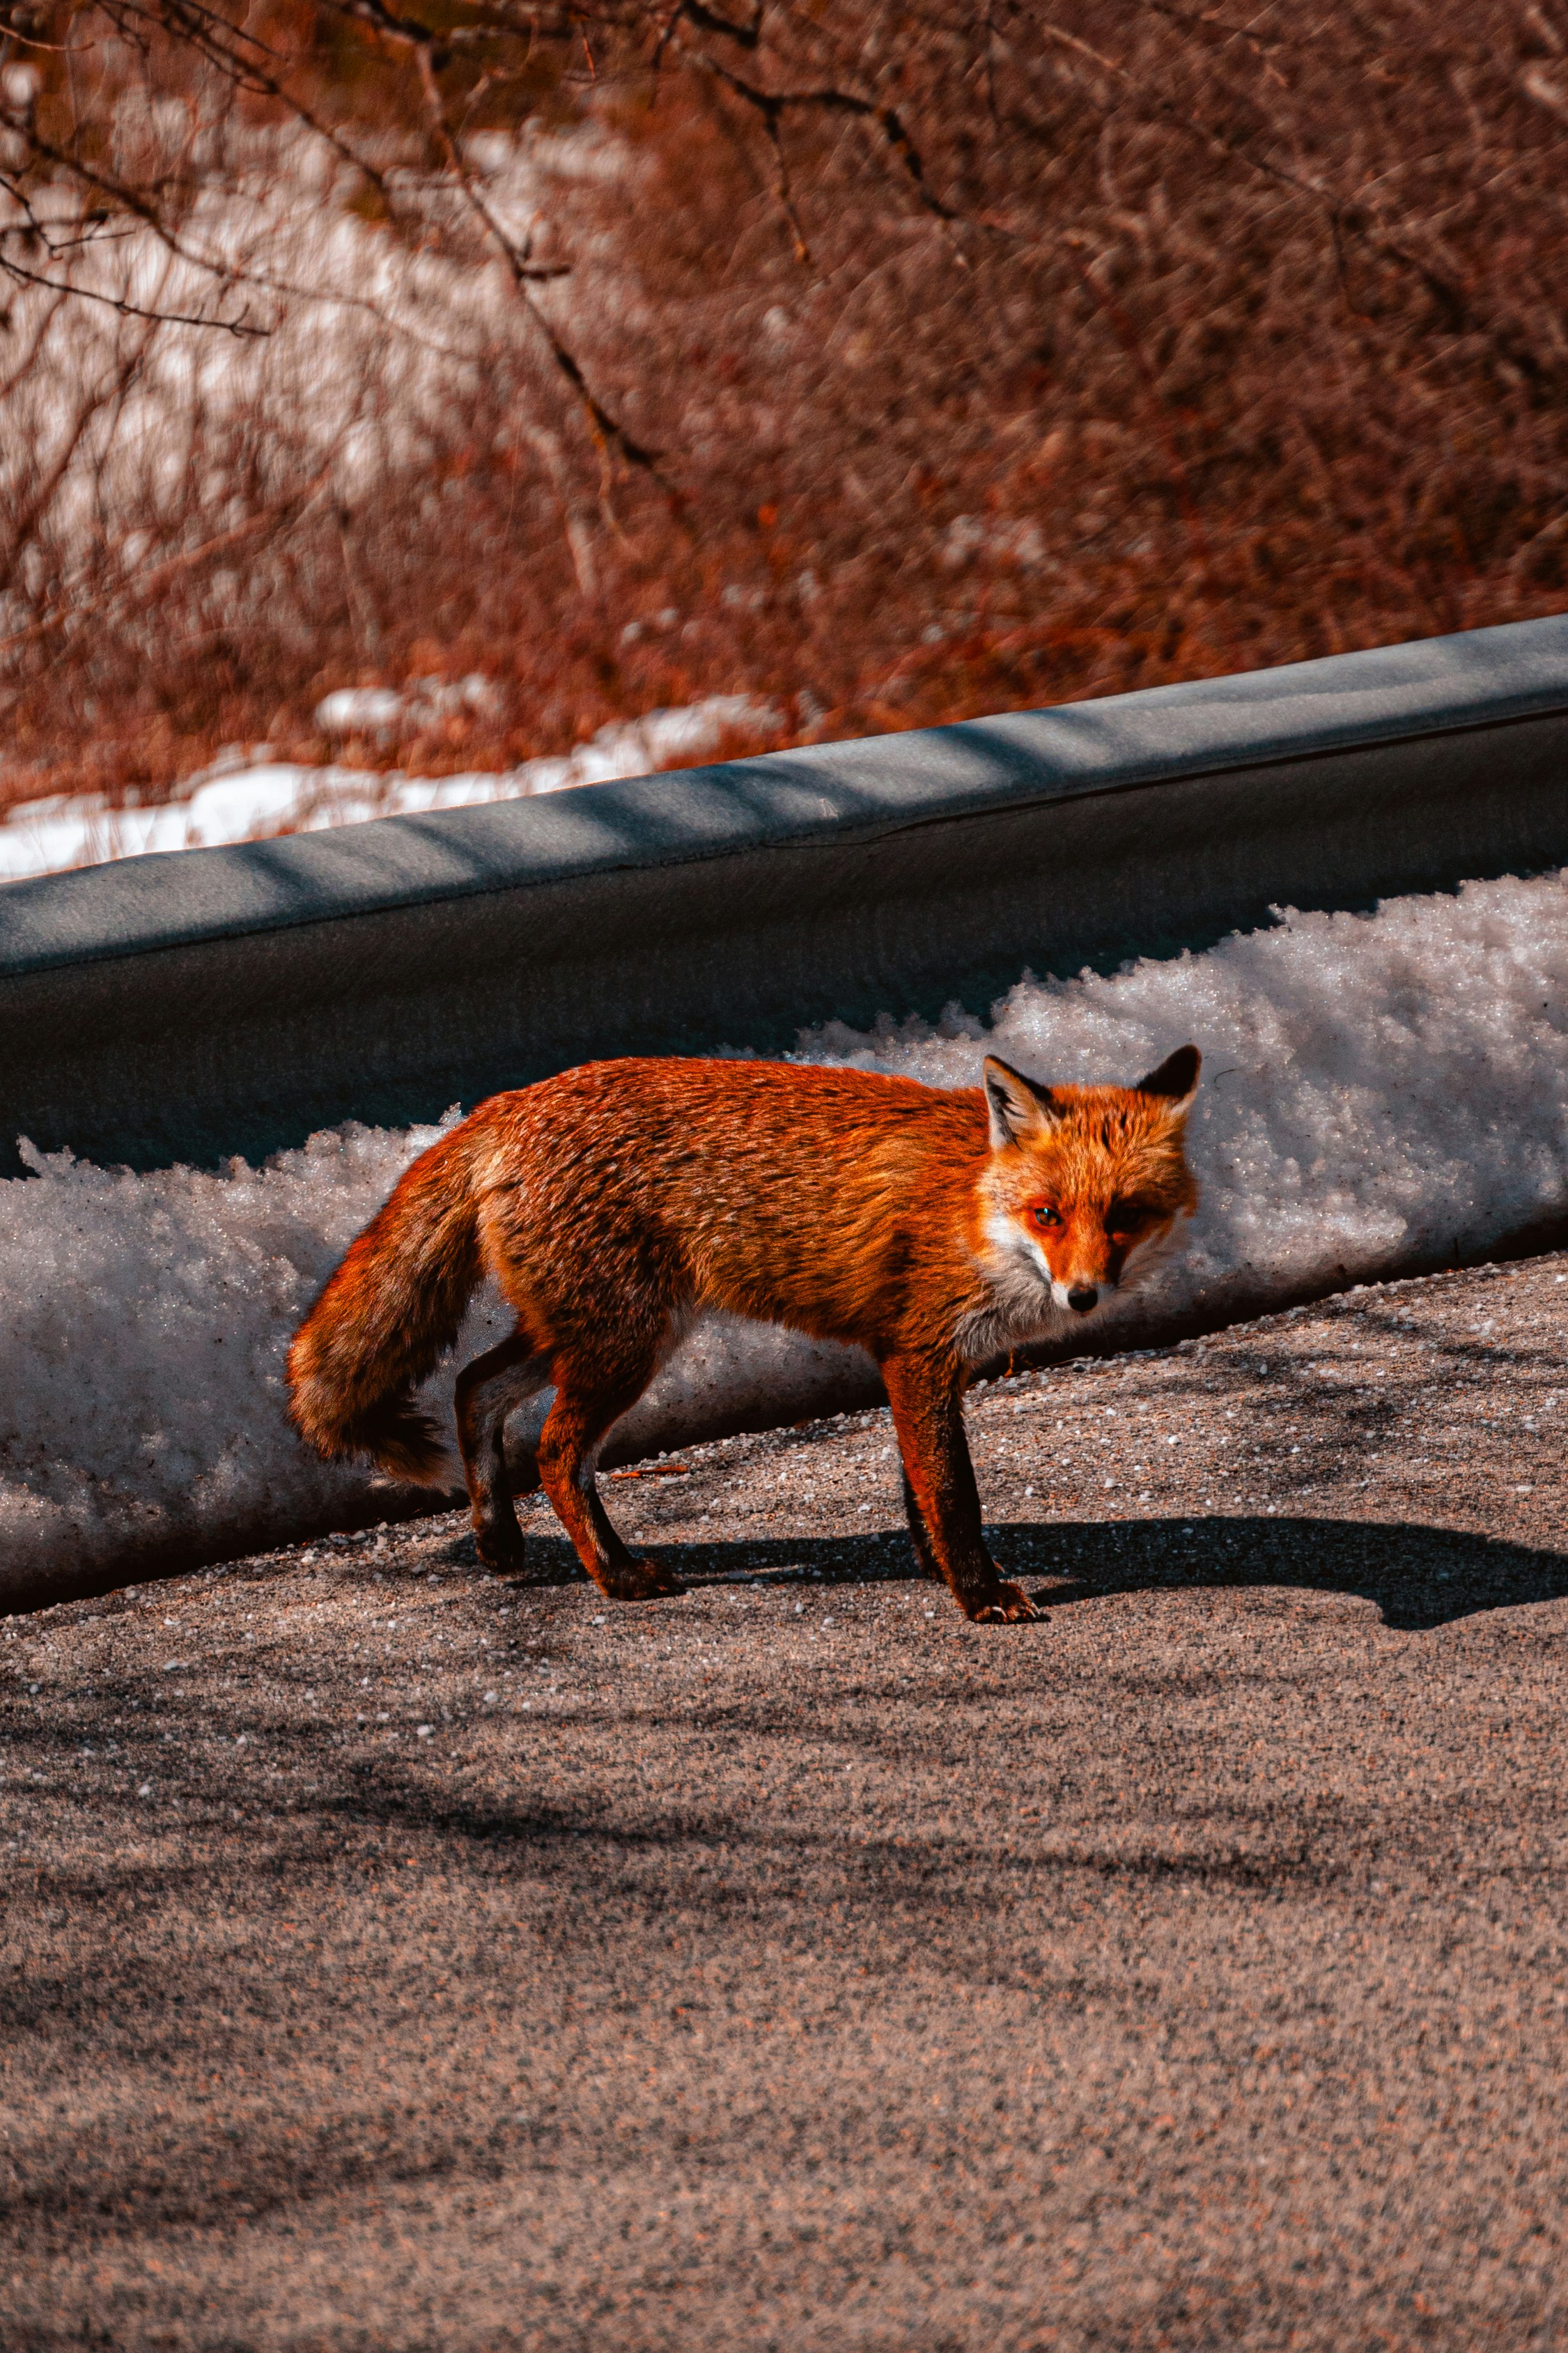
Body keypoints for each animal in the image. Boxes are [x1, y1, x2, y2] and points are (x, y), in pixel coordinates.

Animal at [286, 1046, 1200, 1624]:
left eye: (1124, 1216)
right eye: (1048, 1213)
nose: (1082, 1295)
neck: (973, 1206)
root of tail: (507, 1102)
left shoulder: (931, 1364)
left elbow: (919, 1489)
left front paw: (937, 1570)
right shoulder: (917, 1352)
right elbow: (952, 1492)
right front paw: (977, 1594)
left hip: (588, 1332)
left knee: (472, 1385)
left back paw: (498, 1540)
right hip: (624, 1345)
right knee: (553, 1452)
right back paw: (615, 1574)